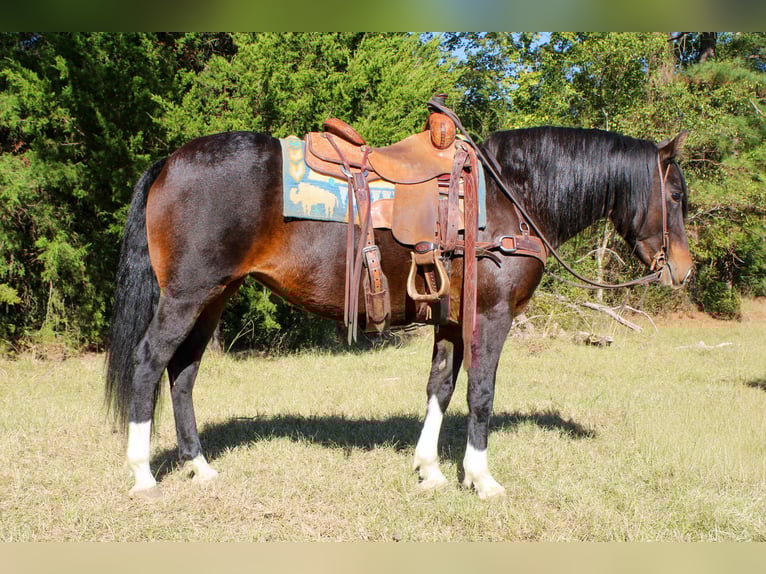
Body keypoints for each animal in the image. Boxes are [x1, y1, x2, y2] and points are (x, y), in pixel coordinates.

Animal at [105, 123, 693, 499]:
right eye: (676, 196)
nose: (683, 270)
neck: (509, 197)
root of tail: (170, 162)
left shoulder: (451, 321)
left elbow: (440, 388)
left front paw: (430, 469)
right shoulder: (491, 317)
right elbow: (481, 394)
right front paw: (481, 479)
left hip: (214, 297)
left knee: (182, 374)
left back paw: (200, 466)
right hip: (187, 296)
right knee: (149, 363)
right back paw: (142, 474)